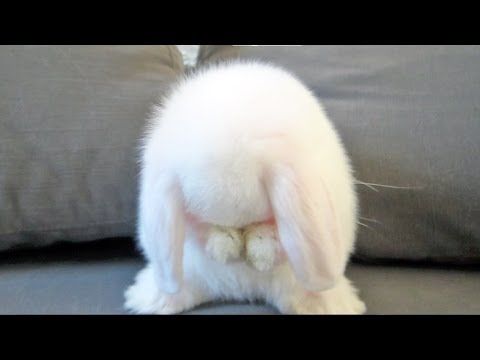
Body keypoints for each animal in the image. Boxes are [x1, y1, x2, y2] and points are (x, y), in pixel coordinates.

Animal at [124, 60, 368, 314]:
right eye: (204, 218)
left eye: (267, 216)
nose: (239, 253)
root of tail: (241, 290)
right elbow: (199, 234)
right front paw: (223, 246)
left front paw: (260, 250)